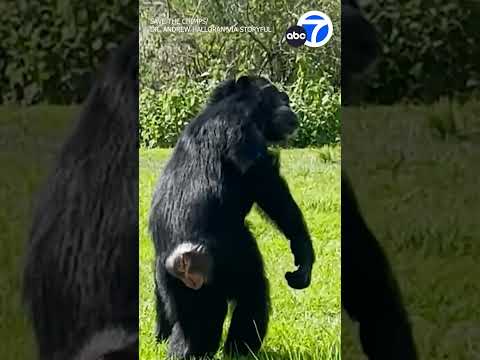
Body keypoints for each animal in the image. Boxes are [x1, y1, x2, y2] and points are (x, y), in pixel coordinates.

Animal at [150, 75, 316, 358]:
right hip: (226, 261)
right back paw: (241, 350)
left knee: (190, 324)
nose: (289, 105)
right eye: (281, 98)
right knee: (252, 291)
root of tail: (182, 257)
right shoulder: (245, 132)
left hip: (171, 279)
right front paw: (303, 253)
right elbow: (268, 186)